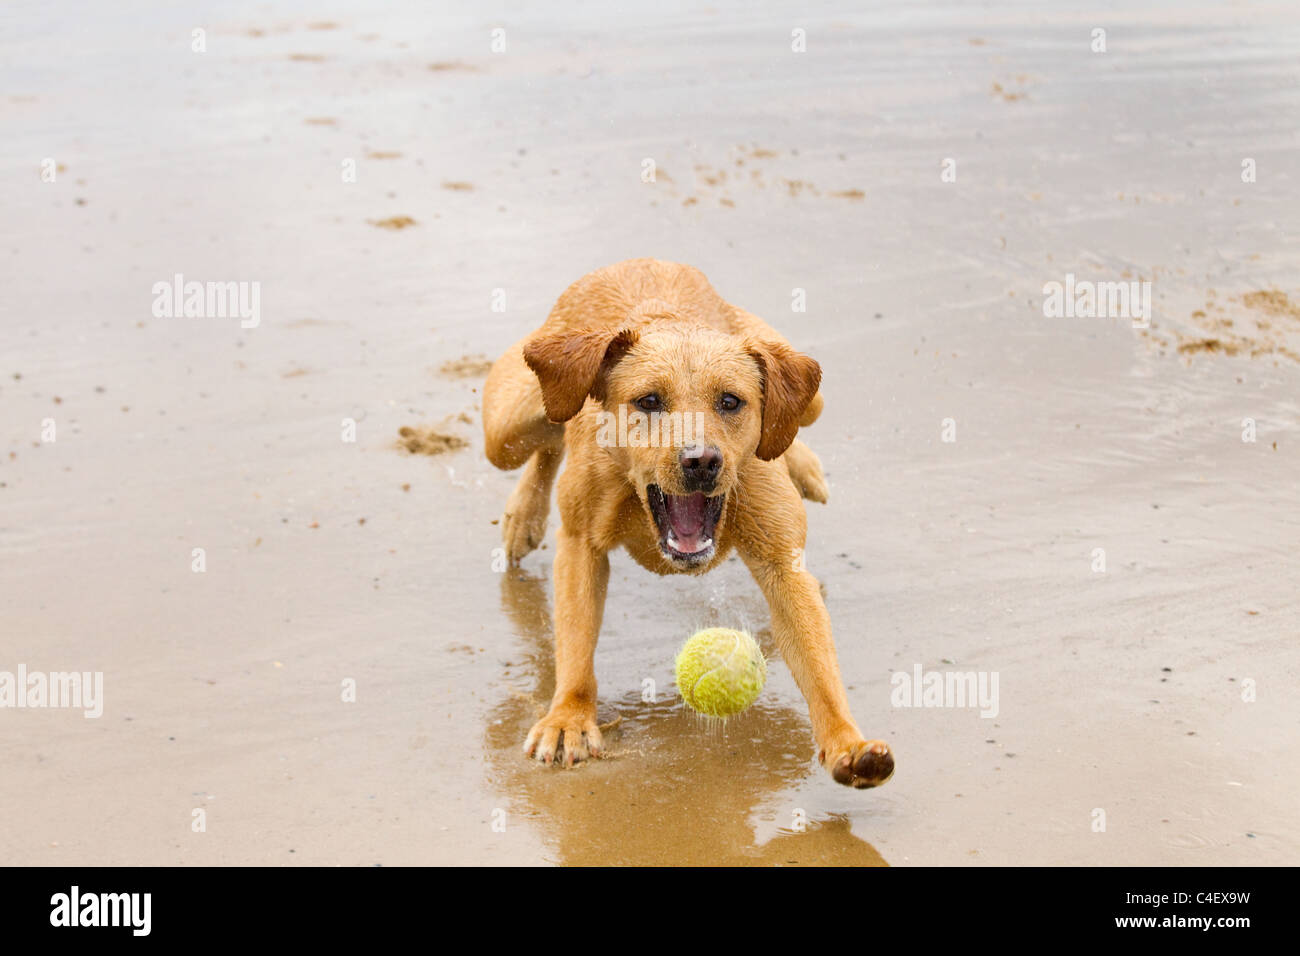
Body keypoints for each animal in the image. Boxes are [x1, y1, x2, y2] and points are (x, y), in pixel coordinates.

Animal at [483, 257, 899, 790]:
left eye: (730, 401)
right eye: (648, 401)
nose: (701, 461)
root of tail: (637, 260)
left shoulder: (783, 566)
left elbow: (819, 664)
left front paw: (847, 743)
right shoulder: (580, 545)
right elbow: (575, 646)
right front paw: (568, 719)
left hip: (808, 392)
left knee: (790, 423)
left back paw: (802, 464)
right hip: (508, 425)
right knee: (551, 428)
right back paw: (525, 514)